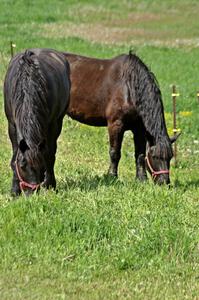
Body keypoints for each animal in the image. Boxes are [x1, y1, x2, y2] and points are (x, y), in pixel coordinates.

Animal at [3, 48, 70, 196]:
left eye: (41, 165)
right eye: (22, 166)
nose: (30, 193)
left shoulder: (51, 126)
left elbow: (50, 156)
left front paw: (51, 185)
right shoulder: (12, 125)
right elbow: (14, 157)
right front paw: (14, 191)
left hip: (58, 122)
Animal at [63, 50, 180, 184]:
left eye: (170, 157)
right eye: (155, 156)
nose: (165, 182)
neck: (129, 87)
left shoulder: (139, 128)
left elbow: (140, 154)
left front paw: (141, 179)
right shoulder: (116, 125)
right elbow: (115, 152)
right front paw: (111, 176)